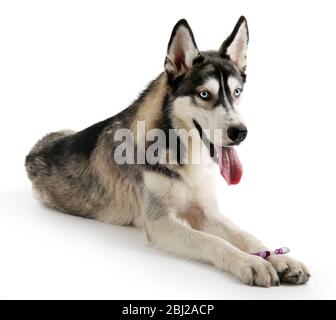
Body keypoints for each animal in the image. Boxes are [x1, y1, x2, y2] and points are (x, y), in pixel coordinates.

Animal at [25, 16, 310, 288]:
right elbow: (213, 242)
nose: (240, 132)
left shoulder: (206, 212)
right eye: (204, 94)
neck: (184, 157)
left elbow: (246, 236)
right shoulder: (160, 222)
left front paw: (281, 259)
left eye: (237, 92)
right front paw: (249, 262)